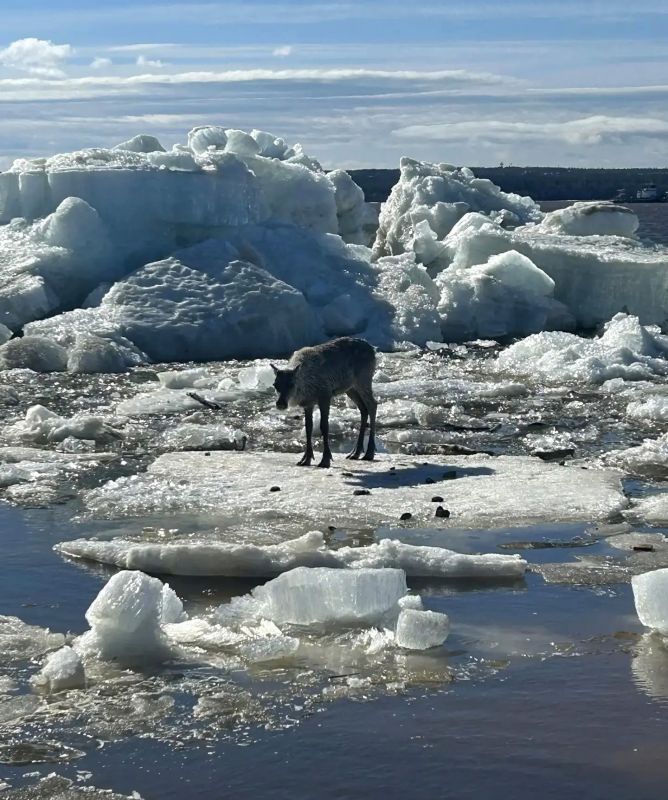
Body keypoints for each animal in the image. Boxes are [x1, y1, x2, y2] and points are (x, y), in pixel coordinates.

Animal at [271, 337, 377, 468]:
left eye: (291, 384)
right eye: (275, 385)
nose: (281, 403)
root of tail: (373, 349)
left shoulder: (325, 395)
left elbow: (324, 426)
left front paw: (325, 460)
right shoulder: (308, 403)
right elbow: (308, 428)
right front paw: (305, 459)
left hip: (363, 379)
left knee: (373, 405)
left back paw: (369, 452)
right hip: (350, 388)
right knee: (363, 409)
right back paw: (355, 453)